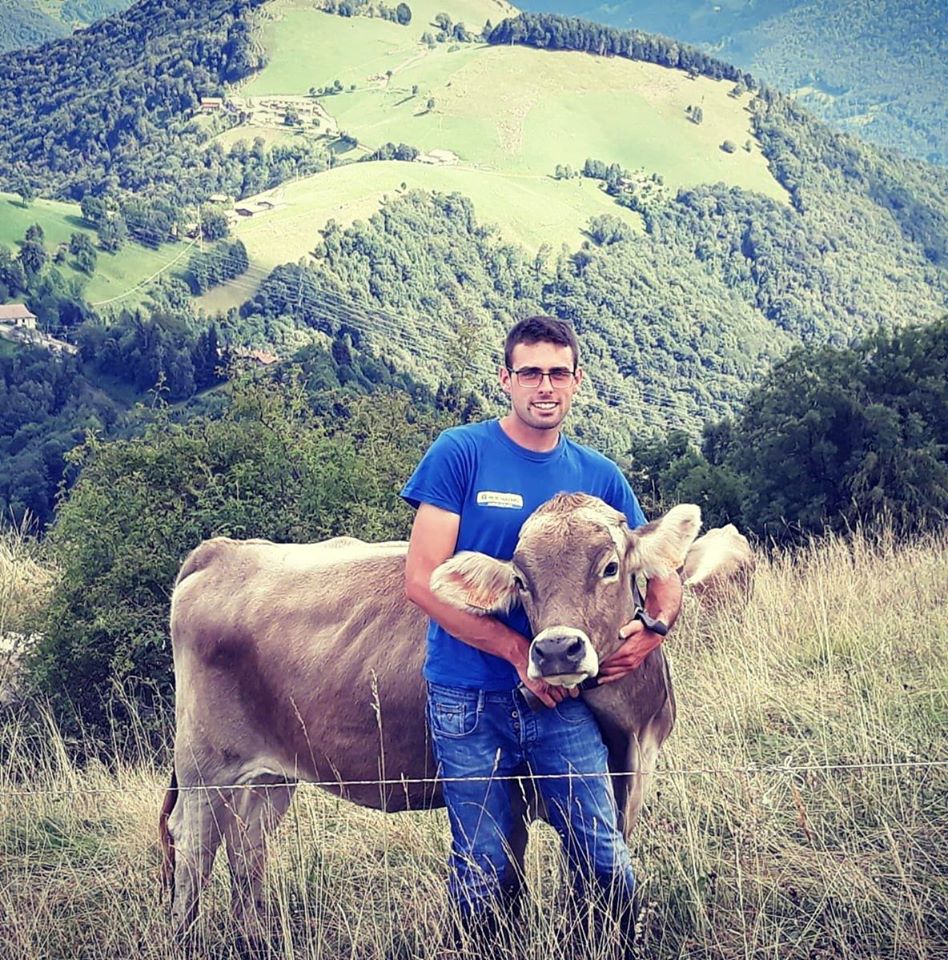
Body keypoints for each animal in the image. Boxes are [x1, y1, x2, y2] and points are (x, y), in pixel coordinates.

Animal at [159, 496, 700, 928]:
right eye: (520, 581)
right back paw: (188, 935)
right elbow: (511, 883)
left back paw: (254, 934)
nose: (555, 651)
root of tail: (223, 551)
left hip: (268, 775)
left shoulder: (630, 780)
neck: (627, 734)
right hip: (204, 766)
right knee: (194, 846)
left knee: (246, 843)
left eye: (610, 567)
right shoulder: (514, 791)